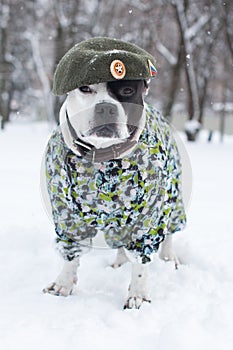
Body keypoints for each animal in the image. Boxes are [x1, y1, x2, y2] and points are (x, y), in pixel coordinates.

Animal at [42, 37, 187, 308]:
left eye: (128, 90)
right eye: (85, 88)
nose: (106, 108)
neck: (102, 156)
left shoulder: (149, 212)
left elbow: (141, 258)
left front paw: (138, 294)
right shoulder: (66, 213)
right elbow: (71, 251)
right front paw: (63, 284)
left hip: (173, 194)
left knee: (170, 229)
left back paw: (168, 257)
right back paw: (120, 261)